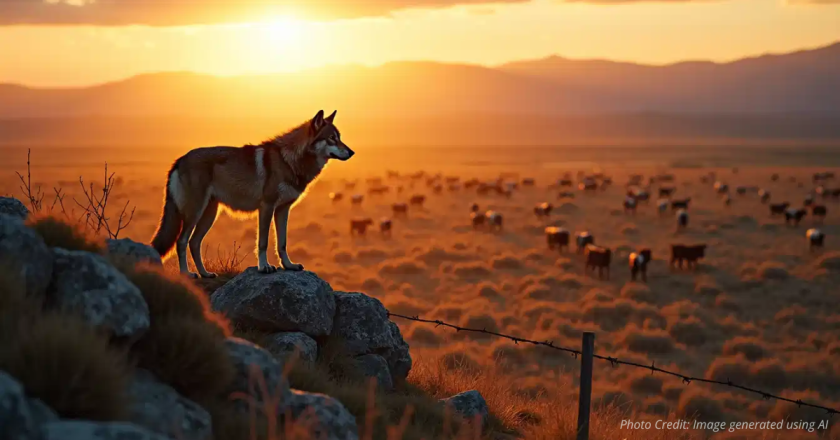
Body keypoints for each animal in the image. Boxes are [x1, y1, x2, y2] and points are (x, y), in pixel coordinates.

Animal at [150, 110, 354, 278]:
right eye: (331, 138)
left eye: (339, 137)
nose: (351, 152)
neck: (288, 160)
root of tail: (179, 160)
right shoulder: (267, 207)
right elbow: (263, 242)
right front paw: (264, 267)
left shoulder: (283, 209)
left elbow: (282, 243)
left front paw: (289, 266)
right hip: (195, 213)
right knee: (182, 241)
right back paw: (187, 274)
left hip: (209, 215)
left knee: (194, 242)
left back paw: (205, 274)